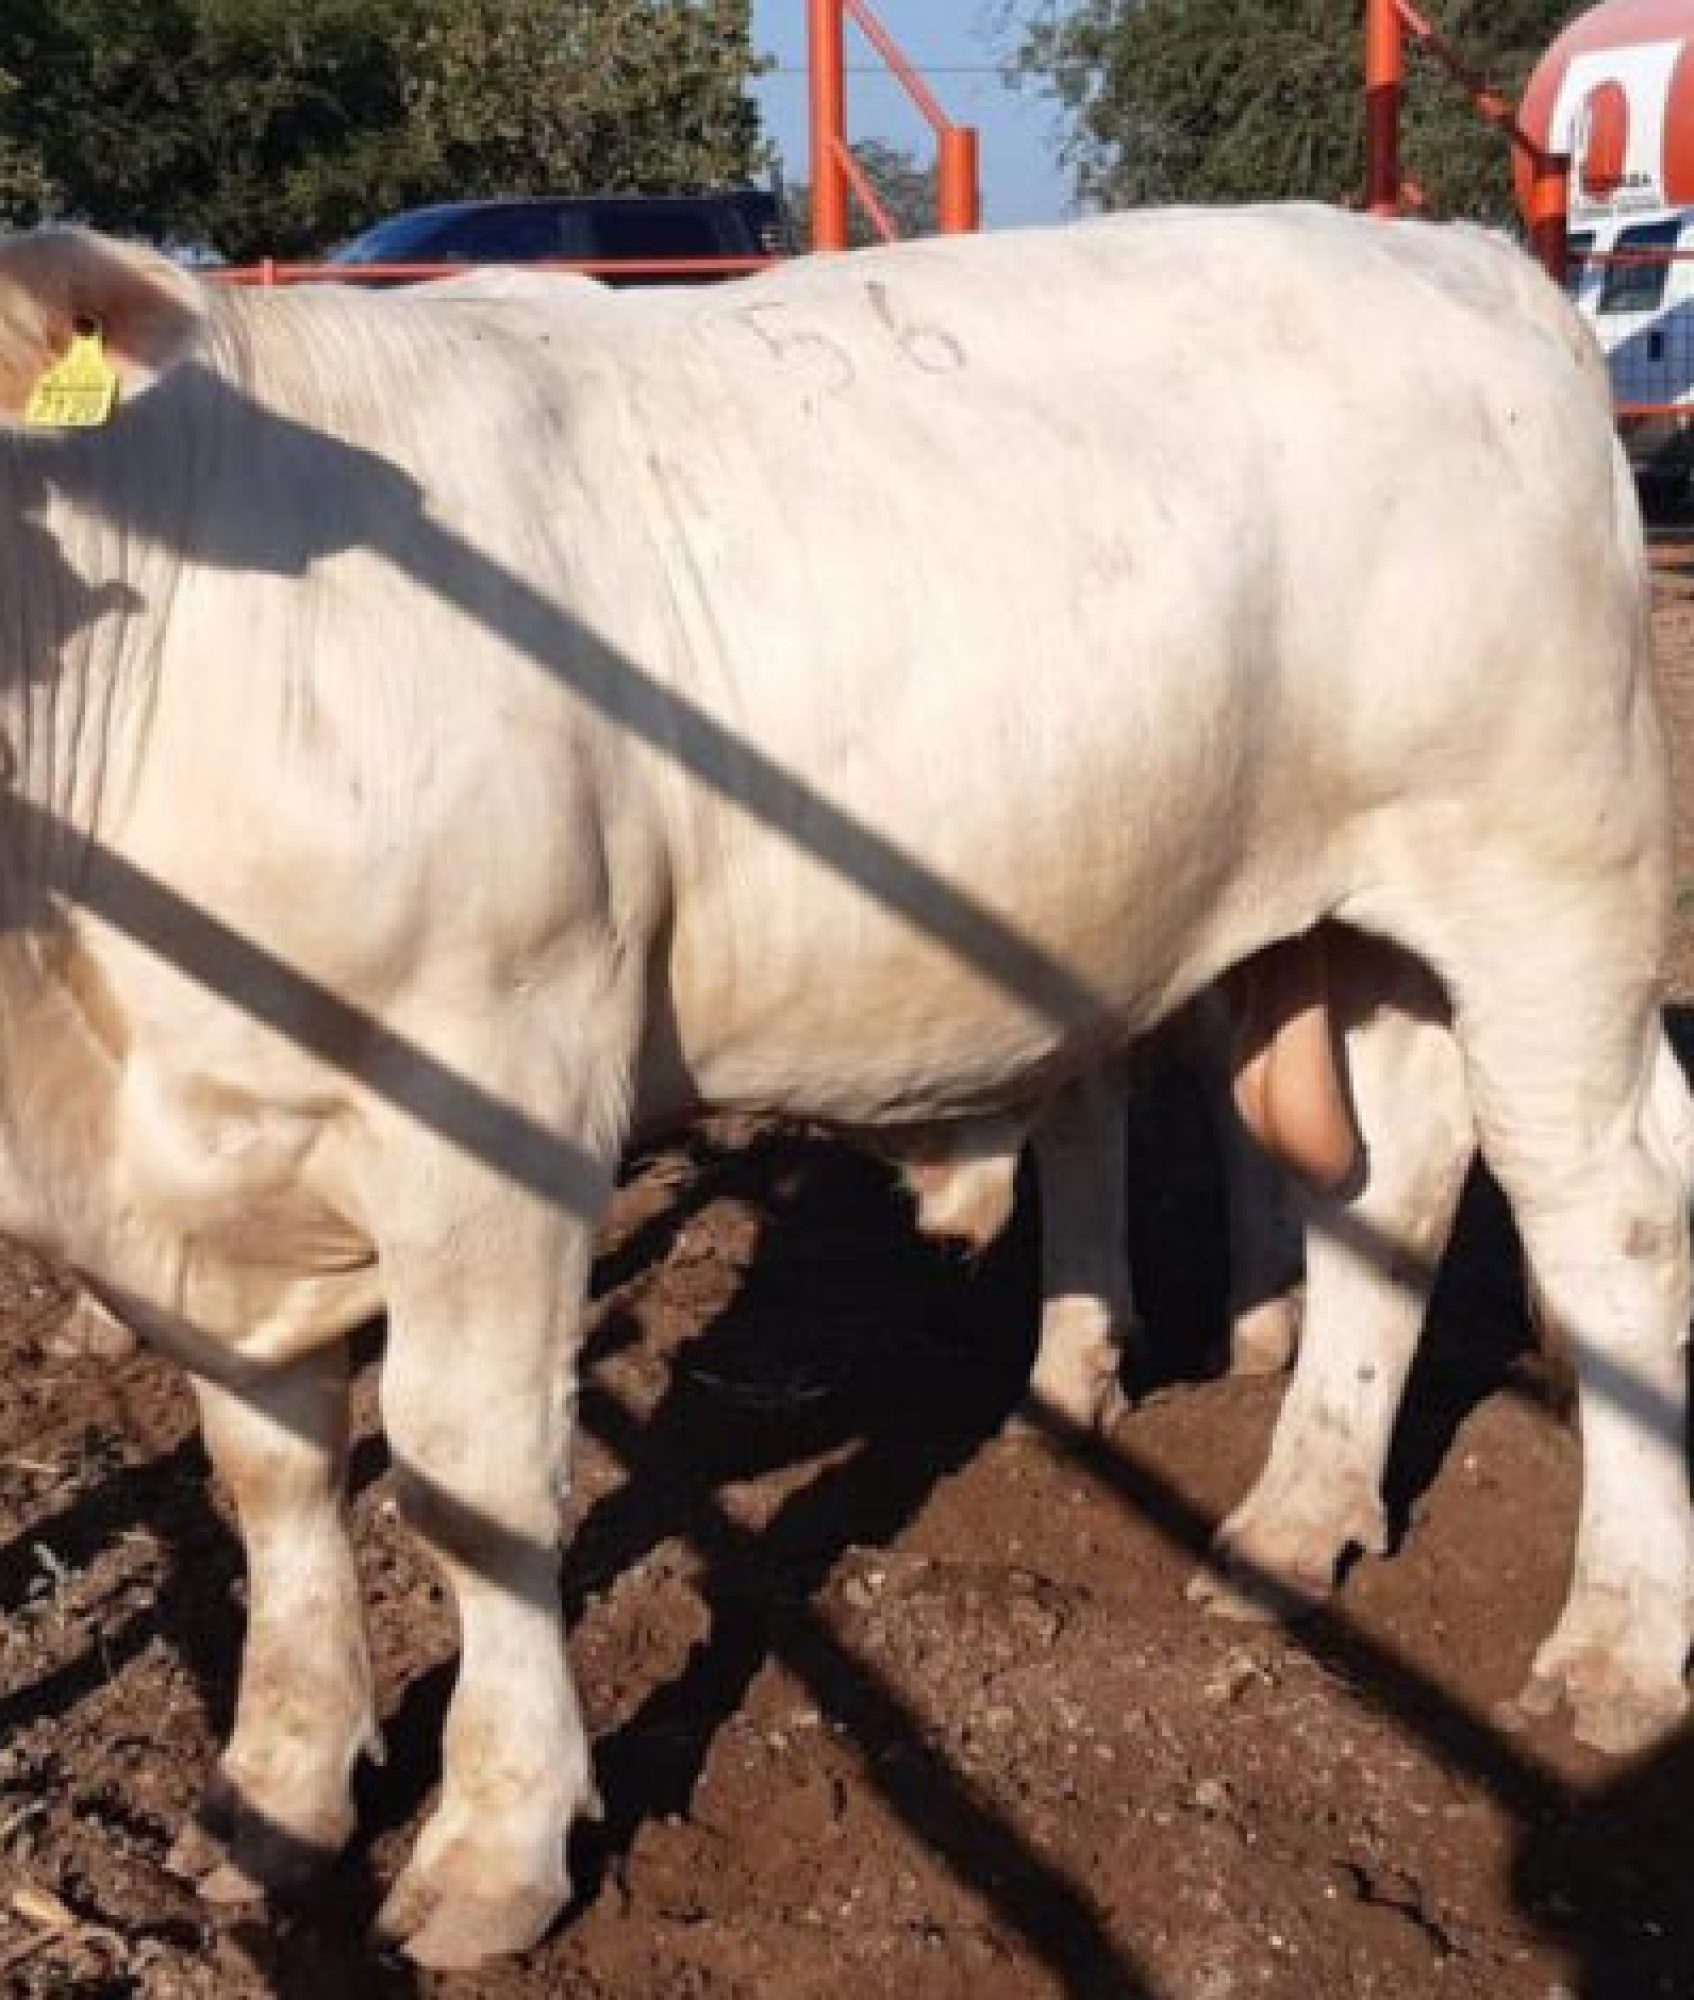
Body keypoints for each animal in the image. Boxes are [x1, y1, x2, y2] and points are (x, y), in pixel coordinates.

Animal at [0, 207, 1683, 1969]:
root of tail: (1466, 255)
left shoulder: (492, 1095)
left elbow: (468, 1476)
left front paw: (493, 1842)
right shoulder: (196, 1185)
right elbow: (270, 1479)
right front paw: (275, 1792)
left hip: (1546, 880)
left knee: (1614, 1222)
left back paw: (1620, 1643)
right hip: (1361, 930)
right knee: (1389, 1191)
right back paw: (1295, 1518)